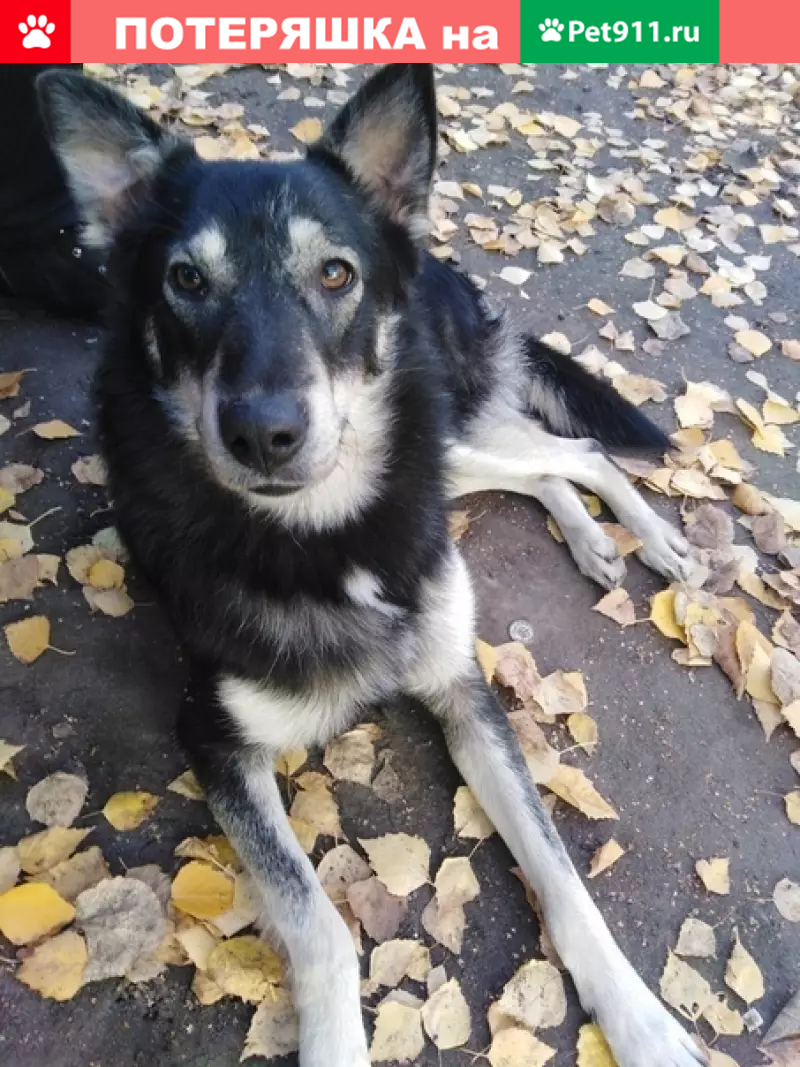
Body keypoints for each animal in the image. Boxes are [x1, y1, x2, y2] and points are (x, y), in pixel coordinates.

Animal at [37, 64, 703, 1067]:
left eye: (335, 273)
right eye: (185, 279)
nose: (263, 433)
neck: (326, 540)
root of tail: (440, 262)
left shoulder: (464, 689)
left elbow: (561, 872)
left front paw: (645, 1024)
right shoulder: (214, 738)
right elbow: (319, 923)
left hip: (436, 431)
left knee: (577, 449)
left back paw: (647, 539)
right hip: (448, 450)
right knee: (550, 462)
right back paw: (595, 539)